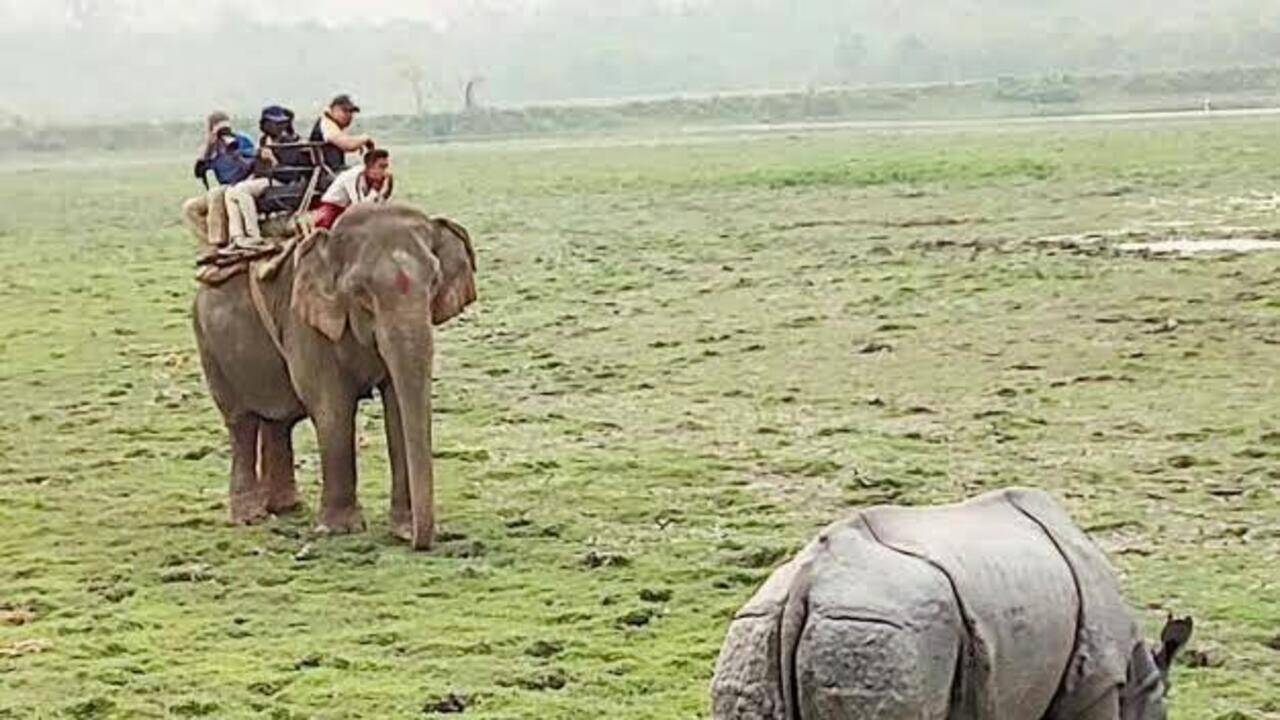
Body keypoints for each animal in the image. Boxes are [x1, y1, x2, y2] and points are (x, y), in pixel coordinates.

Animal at [192, 203, 477, 550]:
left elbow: (396, 408)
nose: (420, 541)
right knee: (241, 423)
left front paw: (401, 529)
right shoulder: (303, 319)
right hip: (210, 344)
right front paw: (339, 530)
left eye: (435, 281)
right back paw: (250, 517)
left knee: (278, 421)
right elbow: (333, 407)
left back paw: (285, 507)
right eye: (359, 290)